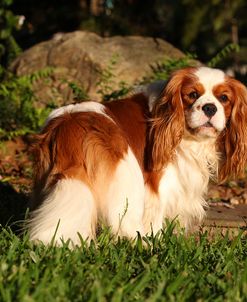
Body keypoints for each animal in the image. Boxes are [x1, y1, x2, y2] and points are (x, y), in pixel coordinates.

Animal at [28, 66, 247, 245]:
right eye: (192, 94)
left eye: (224, 99)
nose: (210, 107)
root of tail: (69, 125)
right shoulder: (160, 184)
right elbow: (156, 215)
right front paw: (157, 242)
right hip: (128, 174)